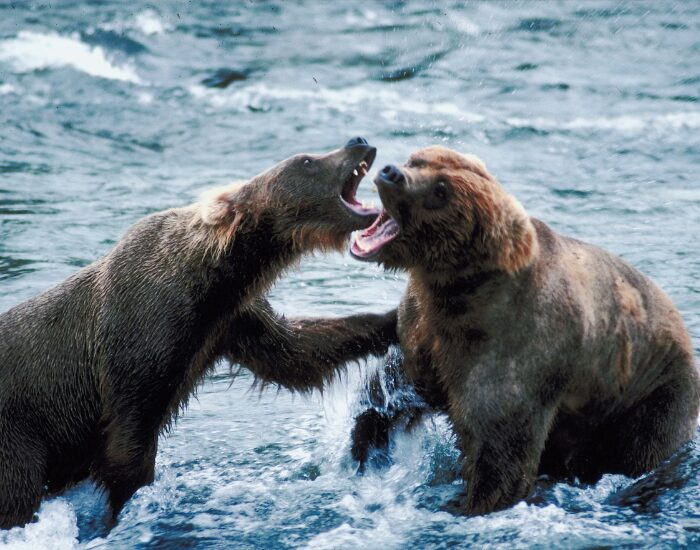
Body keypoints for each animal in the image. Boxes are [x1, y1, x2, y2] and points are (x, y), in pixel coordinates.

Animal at [0, 137, 398, 529]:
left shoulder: (230, 320)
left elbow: (296, 353)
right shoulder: (143, 328)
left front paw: (392, 318)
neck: (213, 275)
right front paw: (121, 509)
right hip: (19, 438)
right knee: (18, 494)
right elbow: (128, 439)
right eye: (306, 160)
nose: (358, 140)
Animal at [348, 145, 700, 515]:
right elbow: (393, 388)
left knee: (643, 449)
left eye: (441, 190)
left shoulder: (517, 347)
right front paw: (367, 448)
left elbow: (501, 453)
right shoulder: (425, 331)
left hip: (651, 392)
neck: (459, 290)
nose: (391, 173)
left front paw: (465, 503)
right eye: (418, 160)